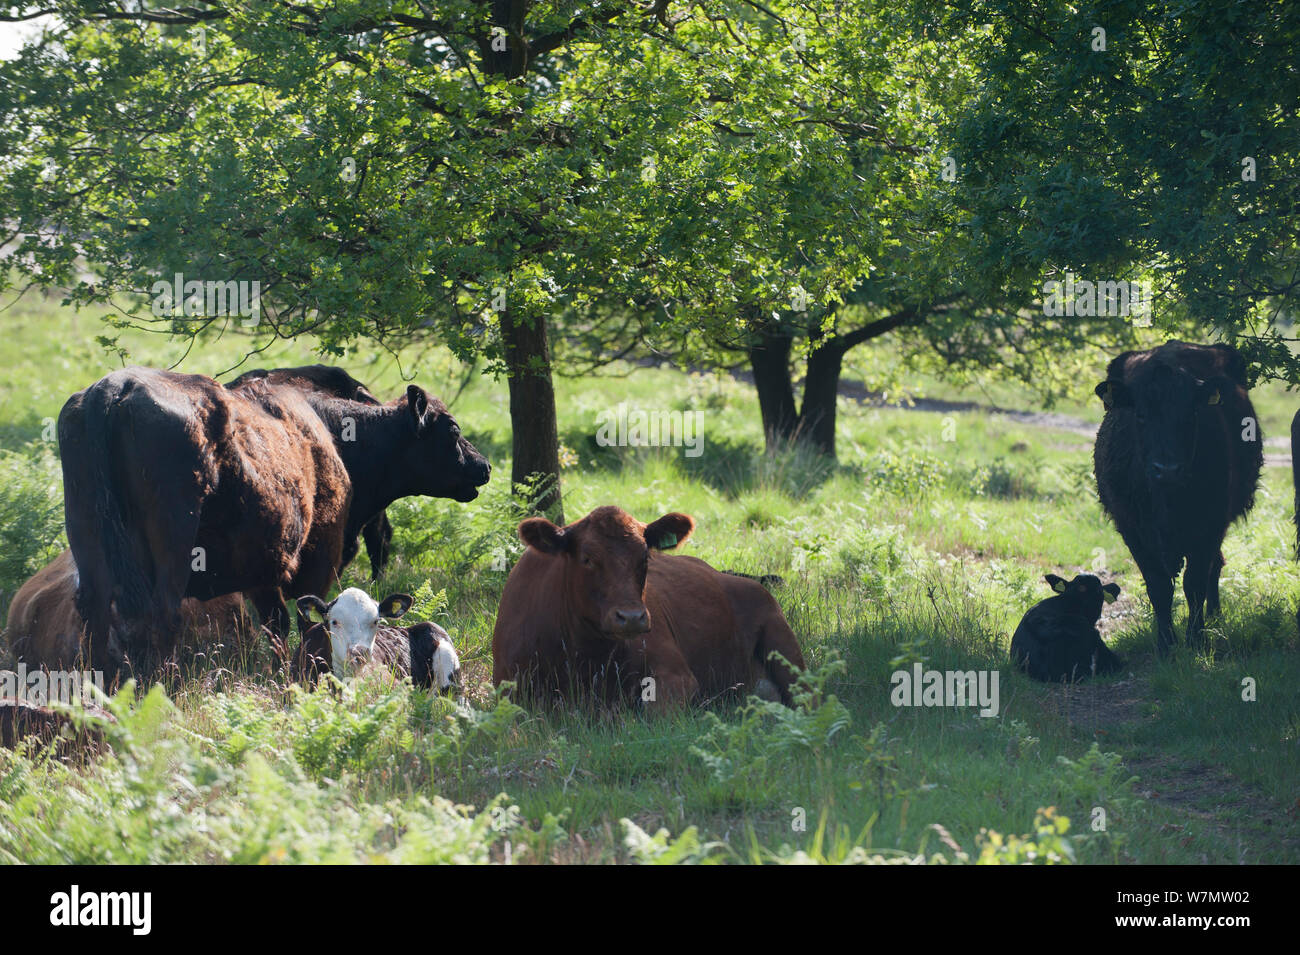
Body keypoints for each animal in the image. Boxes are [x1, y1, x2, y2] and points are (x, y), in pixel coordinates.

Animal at [1092, 340, 1263, 654]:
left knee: (1215, 567)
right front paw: (1166, 645)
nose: (1167, 469)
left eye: (1190, 415)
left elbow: (1194, 584)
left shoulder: (1209, 526)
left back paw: (1215, 618)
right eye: (1141, 415)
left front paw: (1196, 640)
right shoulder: (1132, 530)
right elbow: (1159, 587)